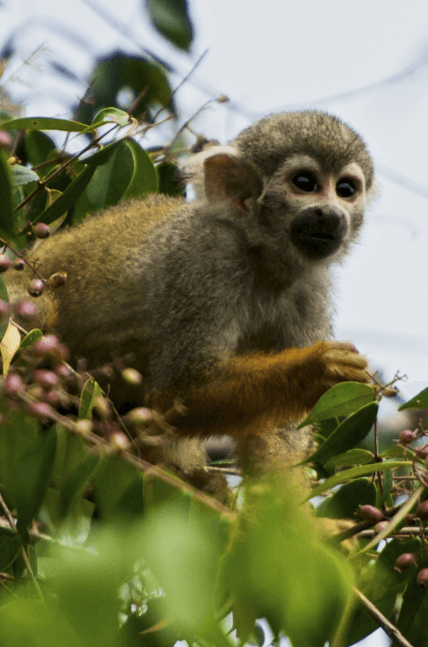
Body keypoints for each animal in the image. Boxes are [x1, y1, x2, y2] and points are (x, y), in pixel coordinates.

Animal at [5, 110, 374, 486]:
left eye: (345, 190)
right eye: (305, 183)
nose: (330, 213)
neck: (260, 254)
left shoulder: (310, 292)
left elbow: (279, 434)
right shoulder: (205, 258)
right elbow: (182, 389)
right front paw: (316, 367)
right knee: (37, 312)